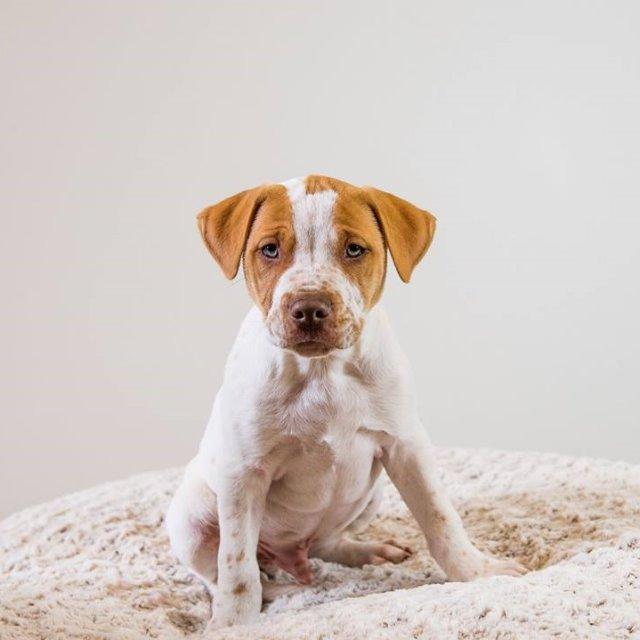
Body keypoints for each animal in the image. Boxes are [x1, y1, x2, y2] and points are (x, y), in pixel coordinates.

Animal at [166, 175, 525, 629]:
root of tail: (291, 555)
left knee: (326, 541)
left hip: (371, 494)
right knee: (223, 575)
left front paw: (478, 572)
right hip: (192, 515)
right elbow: (237, 568)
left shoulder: (406, 446)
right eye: (270, 250)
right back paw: (281, 591)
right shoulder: (244, 473)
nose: (309, 308)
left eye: (354, 249)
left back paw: (365, 551)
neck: (322, 371)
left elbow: (441, 518)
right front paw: (232, 624)